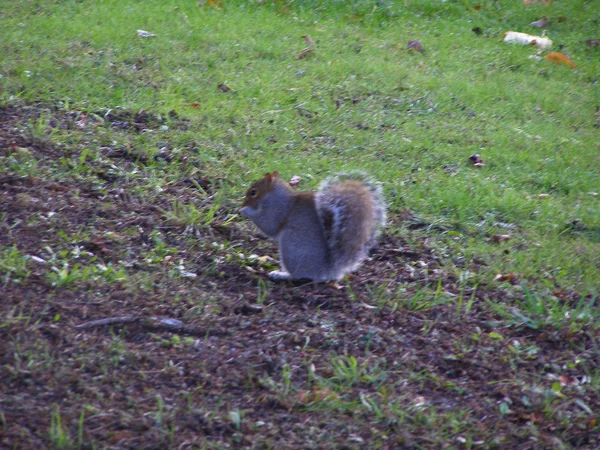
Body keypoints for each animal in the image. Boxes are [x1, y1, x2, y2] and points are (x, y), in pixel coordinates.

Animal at [241, 171, 386, 282]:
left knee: (299, 276)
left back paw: (281, 275)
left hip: (291, 248)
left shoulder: (278, 210)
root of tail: (326, 271)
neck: (274, 196)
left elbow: (269, 225)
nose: (243, 203)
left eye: (253, 192)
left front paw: (245, 210)